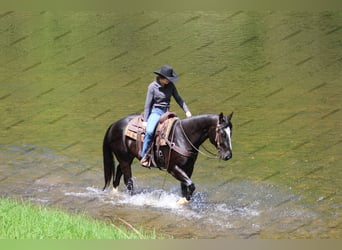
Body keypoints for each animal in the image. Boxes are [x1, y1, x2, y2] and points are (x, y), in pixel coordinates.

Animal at [103, 111, 234, 203]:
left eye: (230, 133)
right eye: (222, 133)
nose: (228, 155)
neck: (183, 136)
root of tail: (114, 125)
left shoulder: (188, 168)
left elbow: (185, 187)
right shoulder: (173, 168)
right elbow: (191, 185)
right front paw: (181, 202)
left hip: (127, 158)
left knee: (118, 172)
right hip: (124, 159)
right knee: (128, 181)